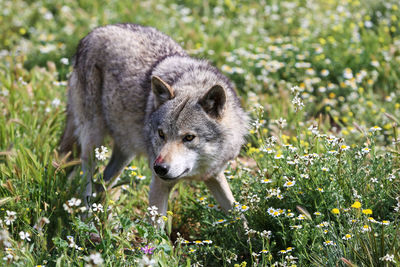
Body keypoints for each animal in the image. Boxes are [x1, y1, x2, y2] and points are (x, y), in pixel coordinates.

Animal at [59, 23, 248, 220]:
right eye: (161, 134)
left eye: (189, 137)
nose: (159, 168)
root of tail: (92, 32)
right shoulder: (159, 184)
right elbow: (155, 227)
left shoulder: (214, 175)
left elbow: (238, 213)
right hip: (93, 145)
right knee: (86, 185)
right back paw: (87, 220)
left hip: (125, 152)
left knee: (101, 182)